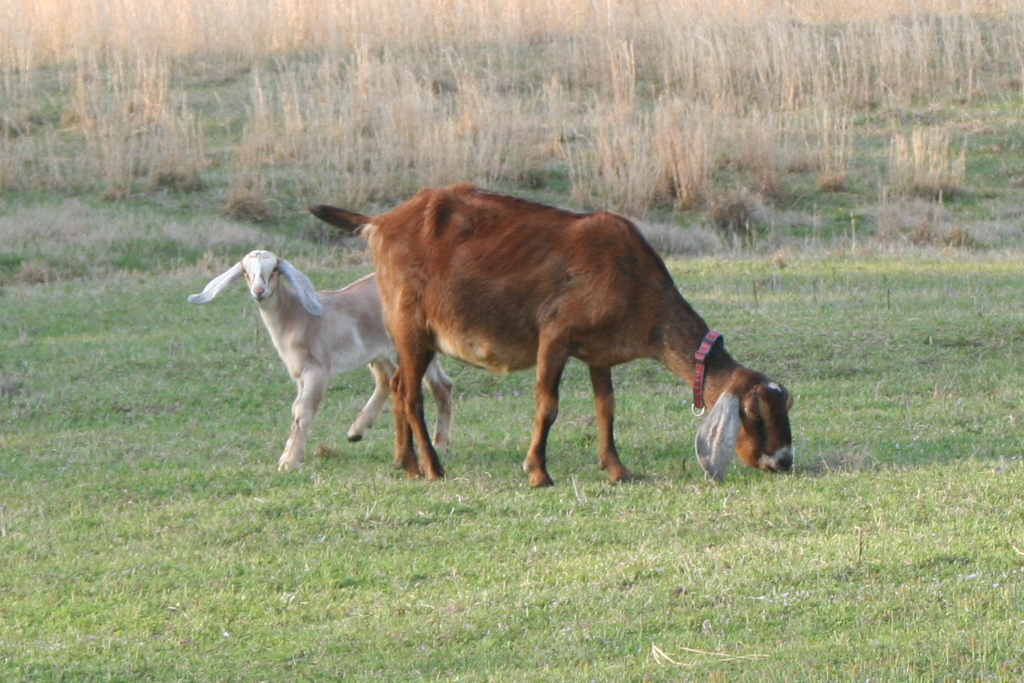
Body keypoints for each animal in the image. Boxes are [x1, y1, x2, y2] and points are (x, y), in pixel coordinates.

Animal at [187, 250, 453, 473]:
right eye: (245, 271)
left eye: (274, 269)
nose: (259, 291)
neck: (297, 317)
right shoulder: (299, 374)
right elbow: (297, 410)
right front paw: (292, 455)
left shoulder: (316, 370)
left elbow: (302, 410)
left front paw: (290, 461)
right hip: (377, 351)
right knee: (388, 379)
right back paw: (357, 431)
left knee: (441, 385)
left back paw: (439, 444)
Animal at [310, 185, 793, 485]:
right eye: (753, 414)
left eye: (785, 407)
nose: (783, 461)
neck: (637, 283)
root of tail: (380, 222)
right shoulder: (556, 335)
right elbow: (548, 405)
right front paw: (538, 472)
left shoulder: (600, 352)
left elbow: (606, 407)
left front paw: (617, 469)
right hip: (411, 323)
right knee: (410, 394)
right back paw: (432, 467)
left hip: (418, 336)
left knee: (397, 385)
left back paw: (405, 462)